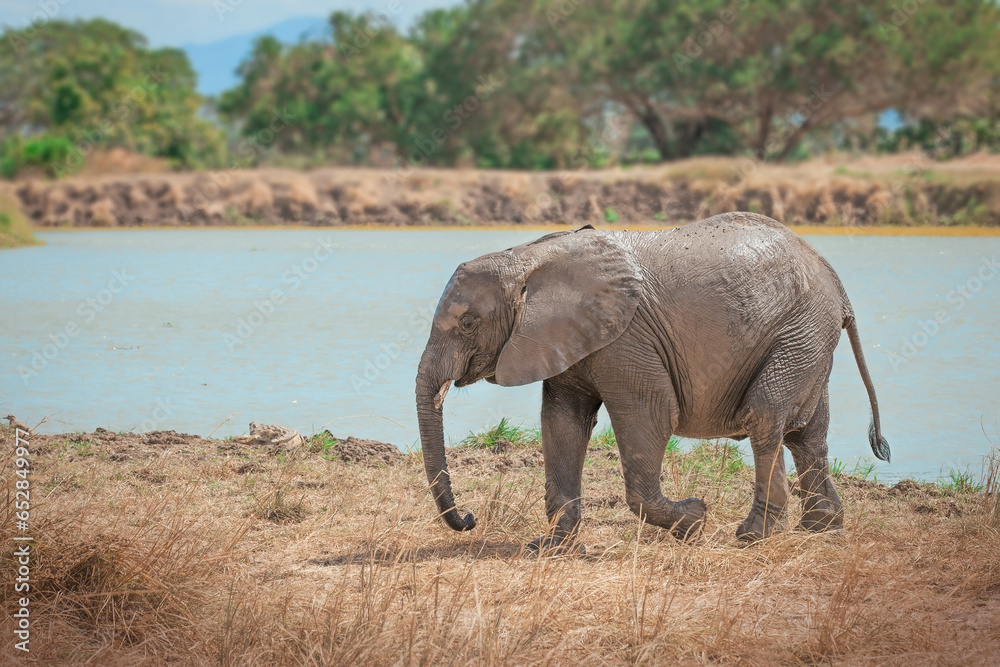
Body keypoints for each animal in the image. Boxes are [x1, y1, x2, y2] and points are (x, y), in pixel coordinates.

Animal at [415, 212, 889, 553]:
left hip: (799, 332)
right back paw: (822, 529)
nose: (470, 519)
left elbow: (648, 417)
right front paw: (548, 549)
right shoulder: (569, 340)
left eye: (468, 323)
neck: (528, 257)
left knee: (766, 418)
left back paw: (753, 536)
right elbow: (563, 423)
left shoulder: (627, 339)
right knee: (807, 434)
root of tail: (835, 282)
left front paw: (695, 520)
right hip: (807, 339)